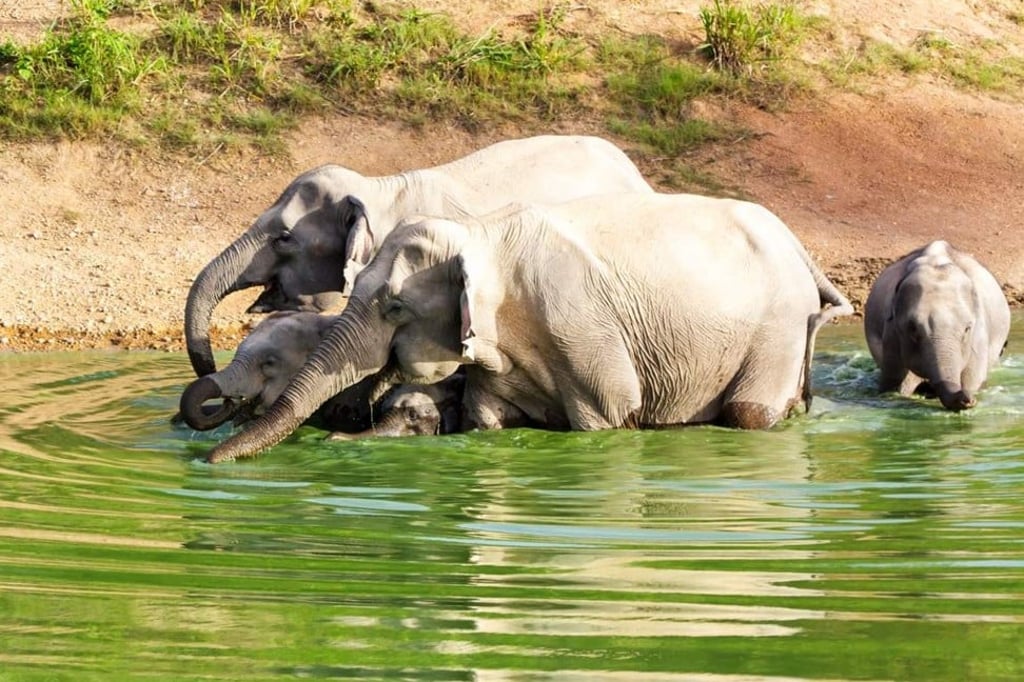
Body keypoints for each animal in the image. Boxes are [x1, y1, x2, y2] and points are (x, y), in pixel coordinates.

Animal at [200, 191, 854, 463]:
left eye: (395, 308)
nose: (206, 461)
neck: (484, 237)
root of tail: (801, 250)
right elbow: (487, 419)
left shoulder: (585, 330)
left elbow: (608, 419)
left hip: (775, 329)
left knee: (749, 413)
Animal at [863, 240, 1010, 411]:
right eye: (912, 328)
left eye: (967, 329)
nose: (968, 400)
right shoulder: (892, 331)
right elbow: (896, 382)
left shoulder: (979, 332)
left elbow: (972, 377)